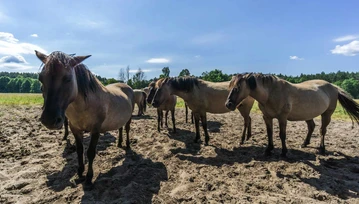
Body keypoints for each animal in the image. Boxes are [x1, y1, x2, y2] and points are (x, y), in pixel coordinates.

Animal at [35, 49, 134, 185]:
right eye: (41, 78)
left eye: (68, 79)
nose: (49, 120)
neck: (83, 107)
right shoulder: (75, 129)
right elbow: (79, 150)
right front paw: (80, 172)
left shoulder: (96, 130)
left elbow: (90, 152)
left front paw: (89, 177)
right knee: (120, 128)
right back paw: (119, 143)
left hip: (129, 118)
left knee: (127, 129)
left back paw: (128, 145)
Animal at [226, 73, 359, 156]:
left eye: (237, 88)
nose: (228, 104)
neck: (270, 93)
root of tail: (334, 87)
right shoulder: (267, 117)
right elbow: (269, 133)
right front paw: (268, 150)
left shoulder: (282, 118)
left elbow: (282, 135)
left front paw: (284, 152)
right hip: (308, 115)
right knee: (311, 127)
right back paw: (304, 144)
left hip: (327, 114)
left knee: (322, 131)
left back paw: (322, 149)